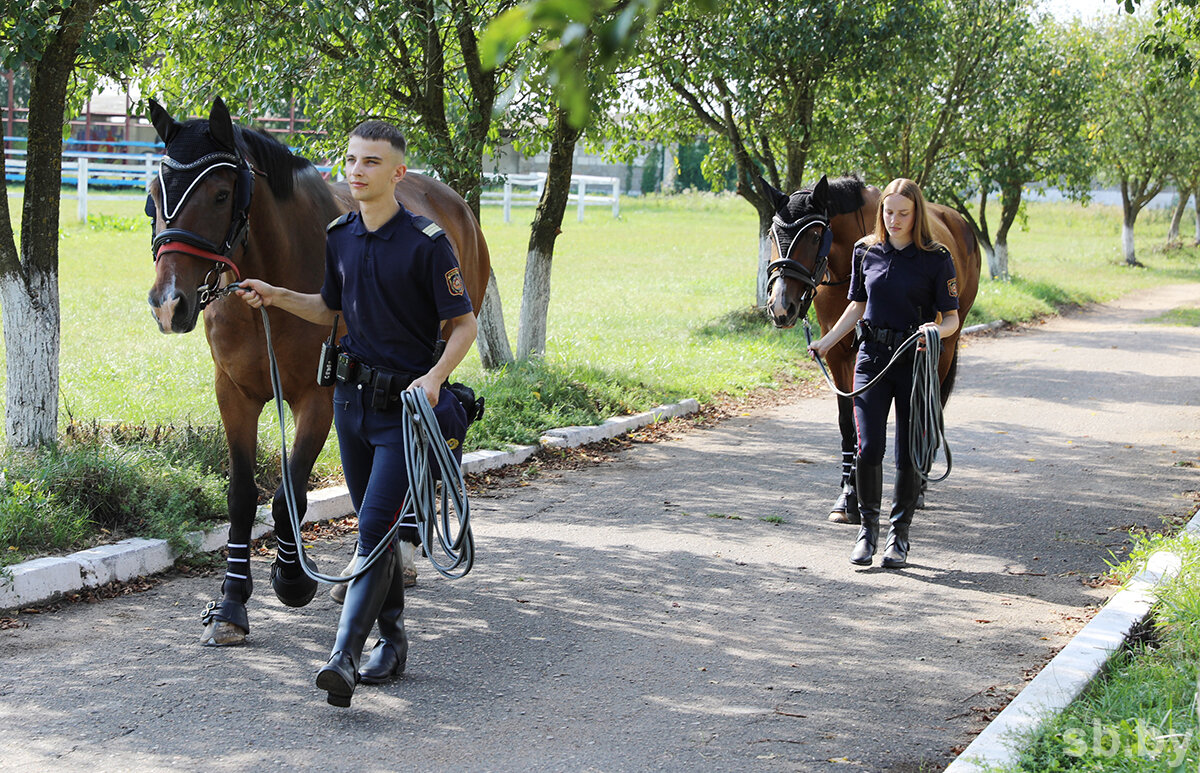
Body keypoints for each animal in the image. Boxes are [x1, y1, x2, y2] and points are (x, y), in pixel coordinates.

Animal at [146, 98, 492, 648]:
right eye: (155, 194)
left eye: (220, 194)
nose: (168, 304)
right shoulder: (234, 394)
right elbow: (242, 497)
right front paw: (231, 604)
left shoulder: (317, 399)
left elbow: (288, 496)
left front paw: (291, 578)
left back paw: (398, 554)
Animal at [758, 175, 974, 523]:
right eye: (772, 234)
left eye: (814, 235)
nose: (780, 307)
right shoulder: (837, 352)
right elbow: (850, 424)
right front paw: (848, 497)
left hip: (945, 345)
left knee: (931, 405)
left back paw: (921, 486)